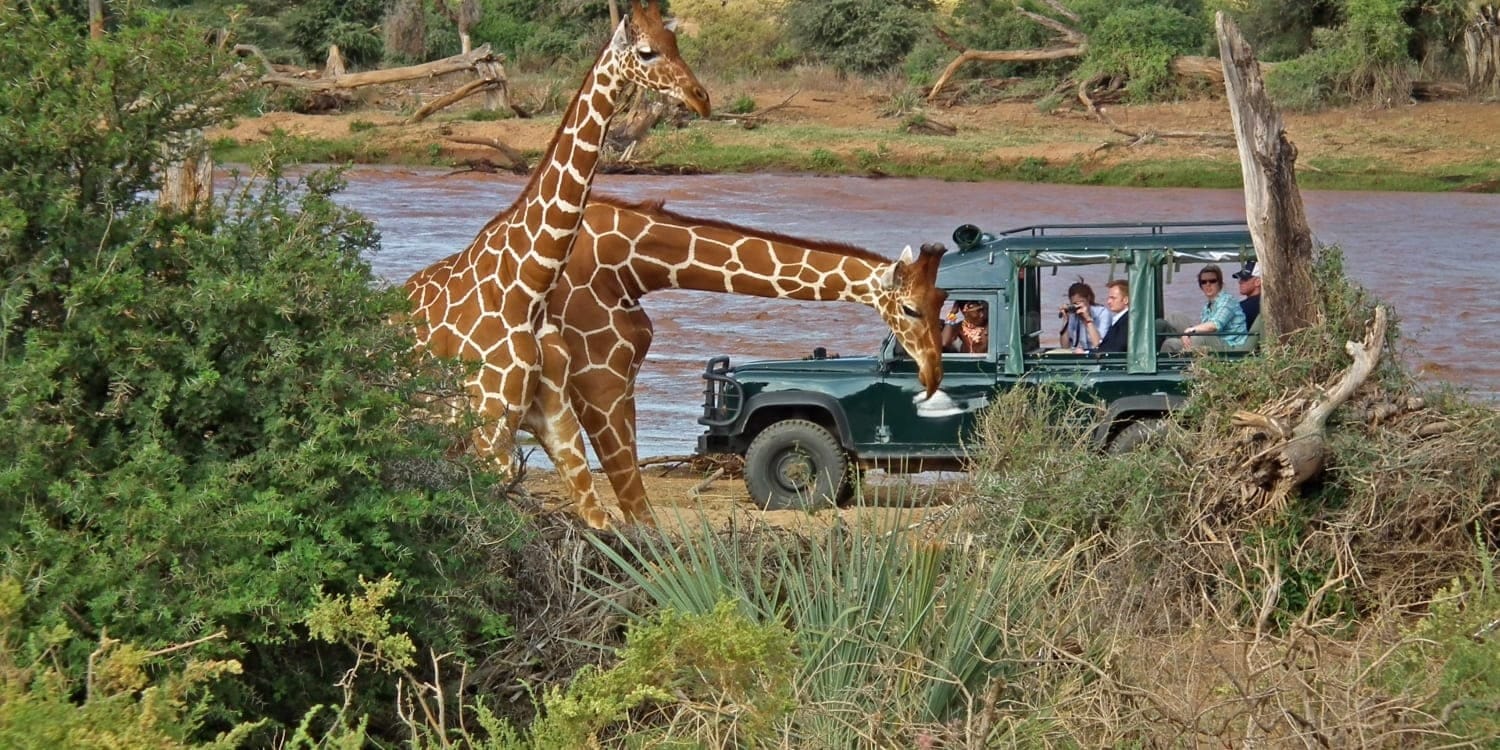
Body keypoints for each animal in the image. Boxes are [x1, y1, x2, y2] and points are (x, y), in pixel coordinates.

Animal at [403, 1, 710, 529]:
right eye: (647, 52)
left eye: (676, 44)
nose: (701, 99)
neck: (528, 287)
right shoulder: (489, 425)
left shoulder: (554, 417)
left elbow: (600, 521)